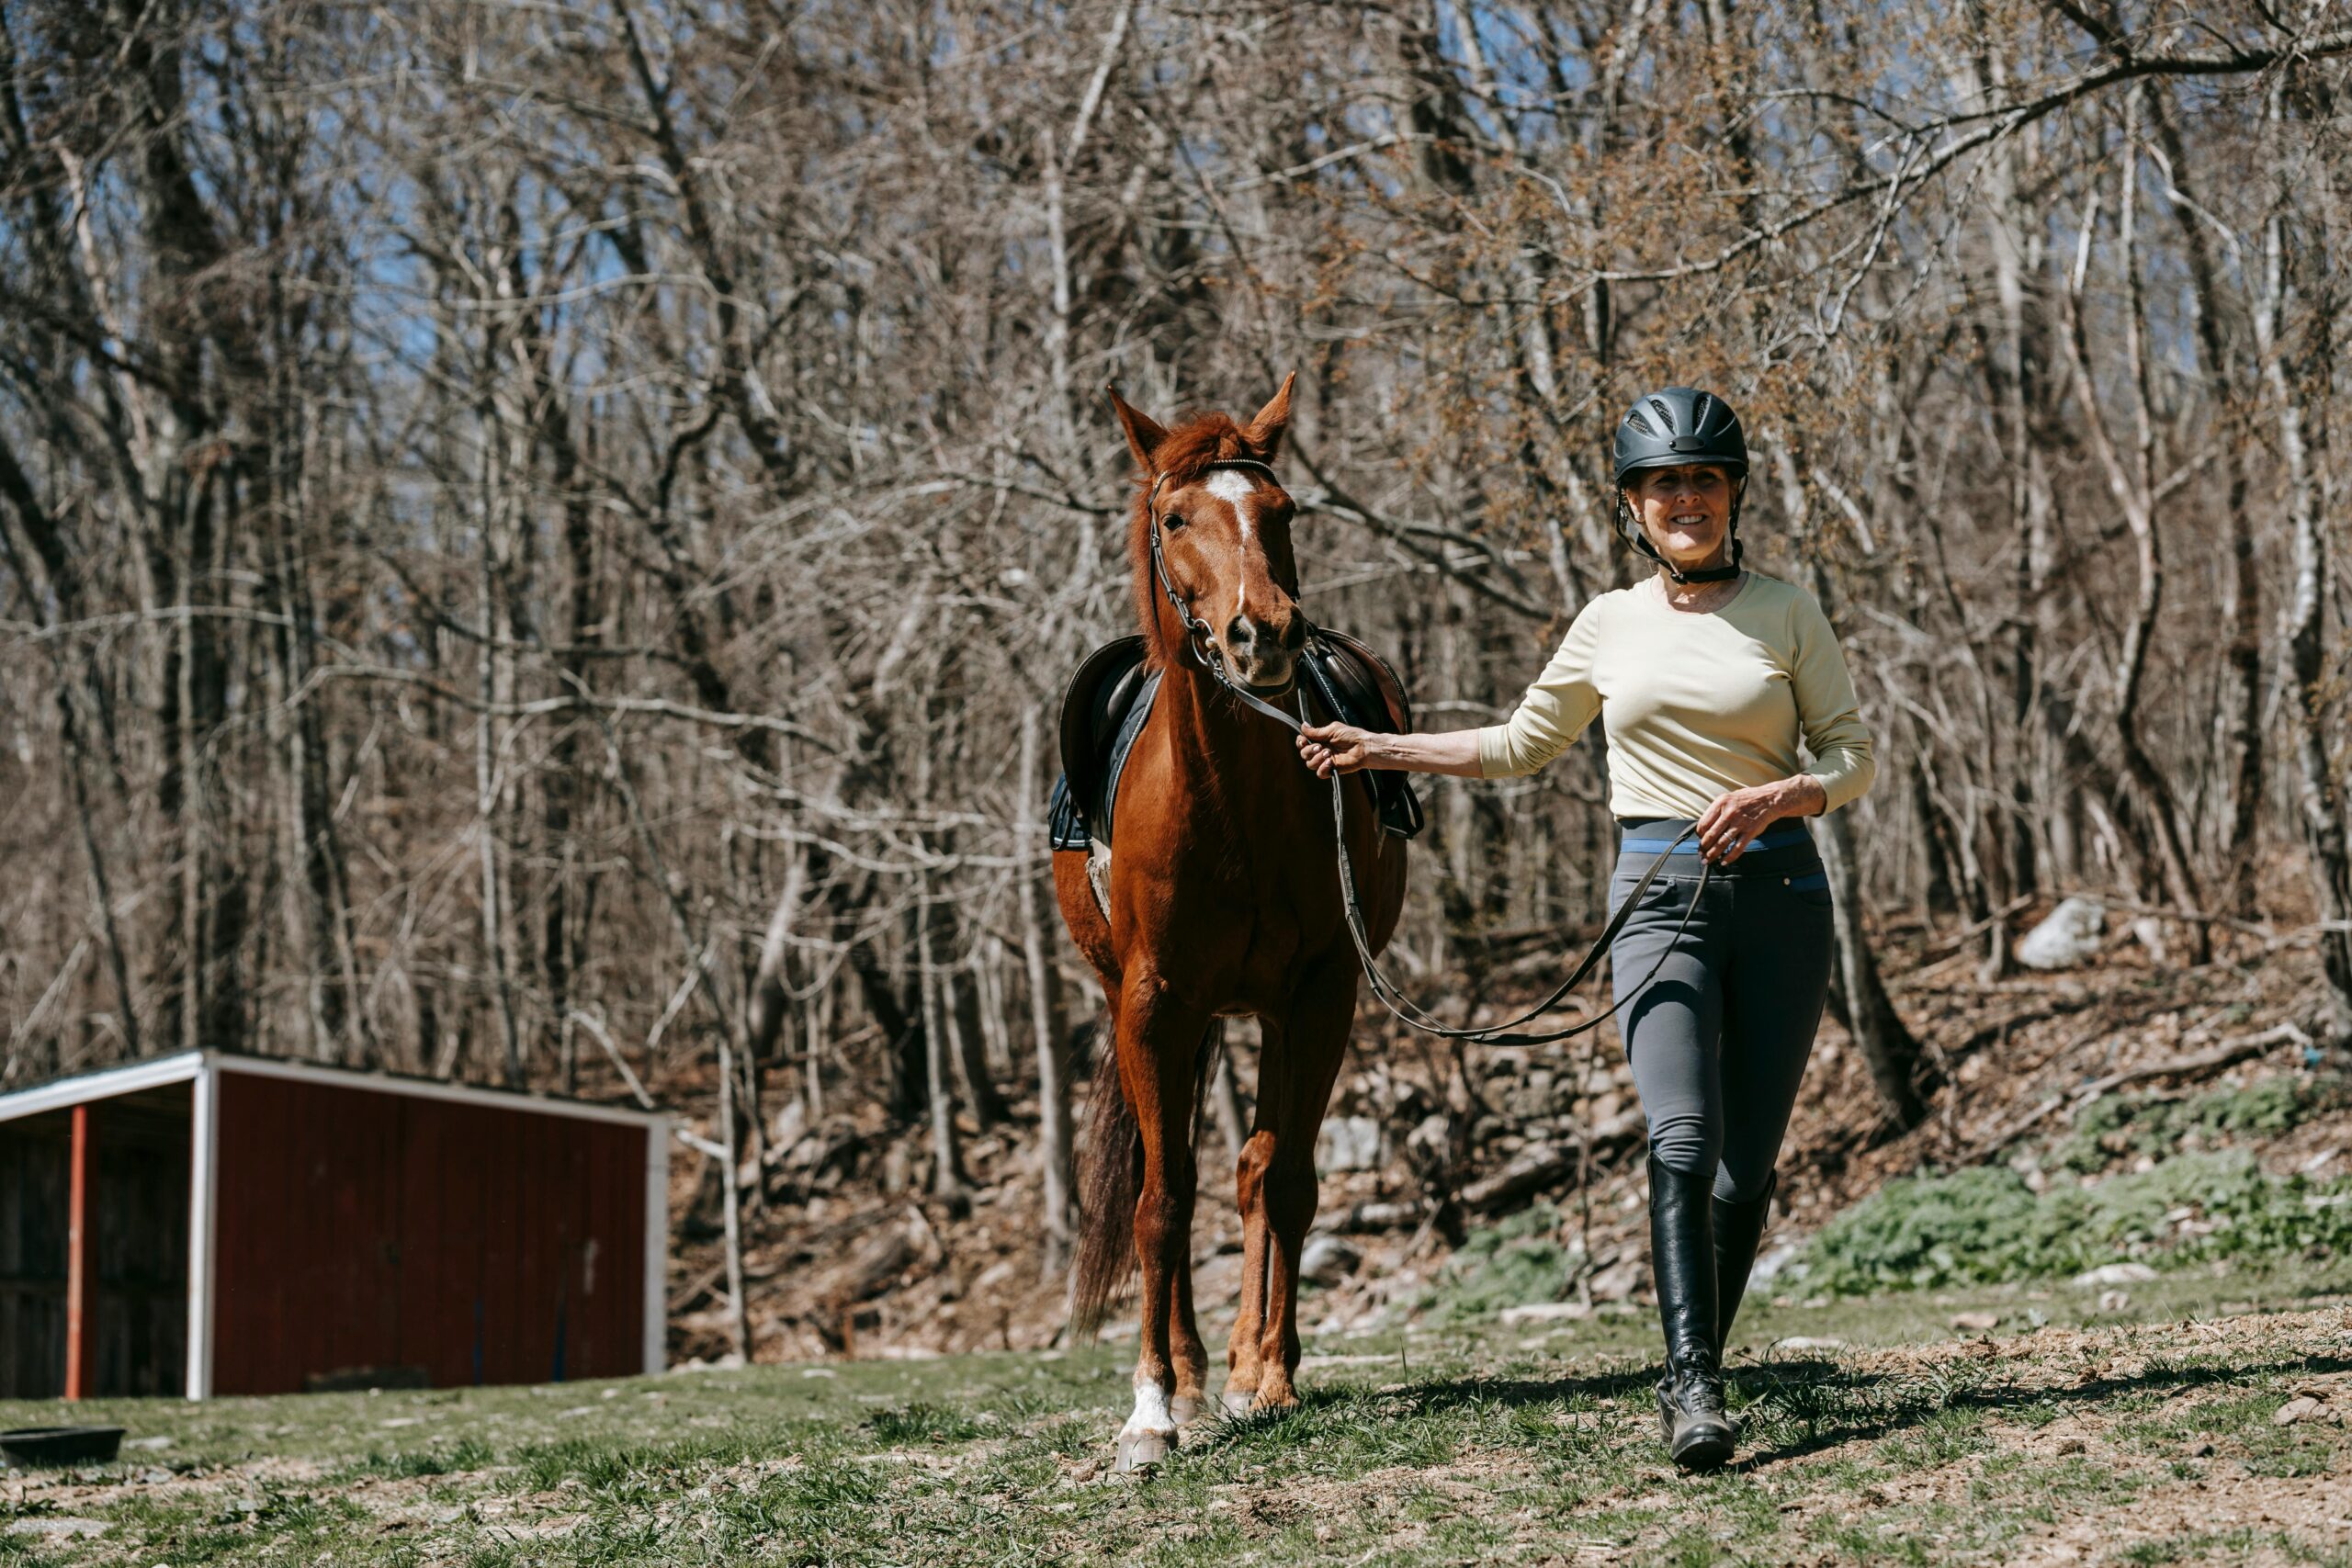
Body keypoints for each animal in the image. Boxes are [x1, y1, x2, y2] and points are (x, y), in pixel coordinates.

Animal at [1058, 380, 1401, 1476]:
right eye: (1176, 518)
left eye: (1282, 510)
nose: (1265, 636)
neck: (1230, 804)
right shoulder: (1154, 1005)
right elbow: (1162, 1201)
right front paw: (1152, 1408)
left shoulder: (1320, 994)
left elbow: (1283, 1182)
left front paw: (1274, 1377)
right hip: (1172, 1012)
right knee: (1174, 1177)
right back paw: (1197, 1373)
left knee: (1254, 1174)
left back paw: (1246, 1368)